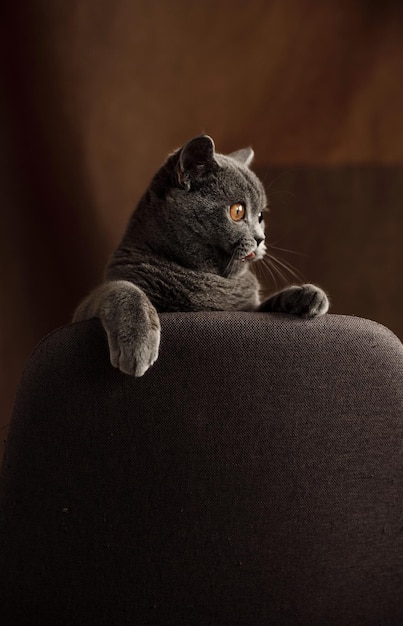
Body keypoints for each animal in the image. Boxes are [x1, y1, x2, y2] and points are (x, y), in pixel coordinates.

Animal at [74, 136, 330, 376]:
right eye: (238, 211)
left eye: (260, 216)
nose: (260, 238)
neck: (212, 282)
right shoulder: (83, 312)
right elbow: (121, 288)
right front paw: (139, 347)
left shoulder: (248, 309)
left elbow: (265, 304)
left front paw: (308, 294)